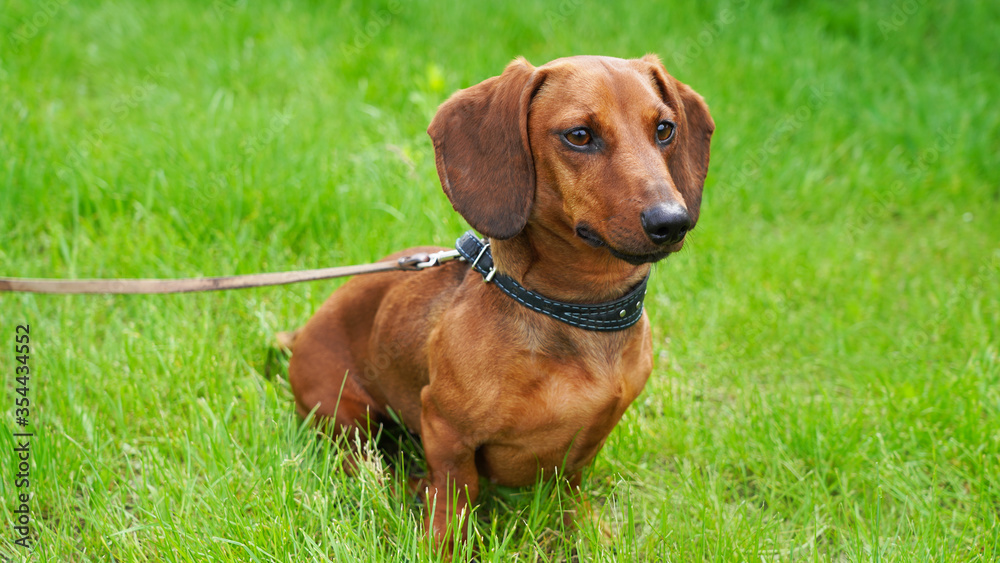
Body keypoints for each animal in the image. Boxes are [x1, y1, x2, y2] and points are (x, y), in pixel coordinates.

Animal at [286, 55, 716, 544]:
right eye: (579, 135)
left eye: (664, 129)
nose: (673, 222)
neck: (579, 312)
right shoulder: (445, 430)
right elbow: (456, 495)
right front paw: (444, 542)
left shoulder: (588, 443)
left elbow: (571, 489)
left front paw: (591, 532)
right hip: (344, 414)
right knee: (364, 465)